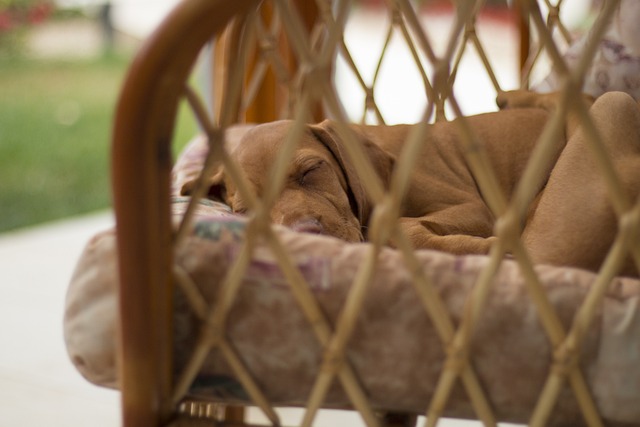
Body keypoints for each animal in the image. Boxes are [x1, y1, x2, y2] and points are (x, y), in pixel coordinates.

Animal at [179, 91, 640, 278]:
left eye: (311, 171)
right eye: (246, 213)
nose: (306, 234)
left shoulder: (474, 208)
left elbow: (392, 225)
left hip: (611, 107)